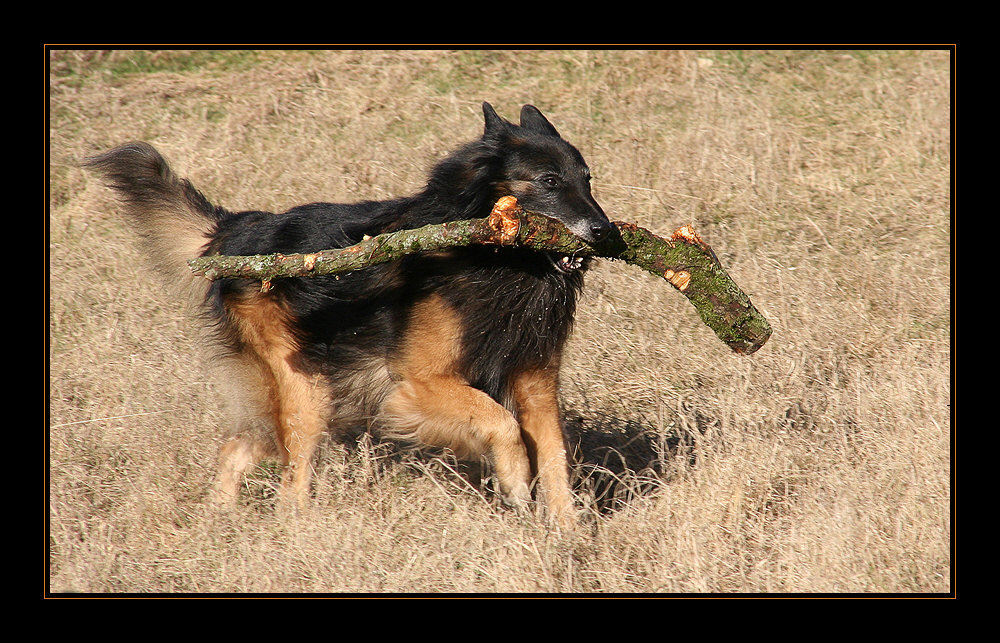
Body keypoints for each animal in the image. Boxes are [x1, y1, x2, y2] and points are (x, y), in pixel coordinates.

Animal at [86, 103, 612, 532]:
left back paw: (220, 520)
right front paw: (517, 482)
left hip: (316, 390)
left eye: (588, 179)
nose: (604, 231)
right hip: (308, 391)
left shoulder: (535, 384)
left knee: (237, 448)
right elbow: (502, 424)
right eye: (549, 181)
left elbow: (554, 454)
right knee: (291, 479)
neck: (496, 262)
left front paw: (566, 533)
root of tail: (233, 230)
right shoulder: (416, 386)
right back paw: (296, 531)